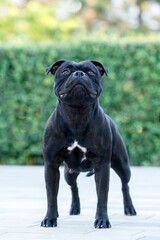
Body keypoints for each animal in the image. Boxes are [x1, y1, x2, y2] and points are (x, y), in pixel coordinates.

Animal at [41, 60, 136, 229]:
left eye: (91, 72)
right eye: (65, 71)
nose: (79, 74)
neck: (77, 115)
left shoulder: (102, 165)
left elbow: (102, 196)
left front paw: (102, 220)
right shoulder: (51, 165)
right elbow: (51, 195)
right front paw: (50, 219)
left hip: (122, 165)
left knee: (125, 184)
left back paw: (129, 208)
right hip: (68, 172)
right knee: (73, 186)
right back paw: (74, 208)